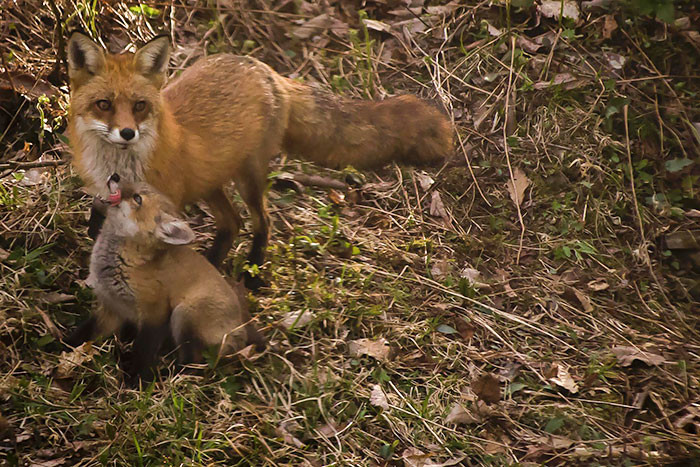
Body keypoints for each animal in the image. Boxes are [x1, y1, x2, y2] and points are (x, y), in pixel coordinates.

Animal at [67, 33, 454, 288]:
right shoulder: (106, 194)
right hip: (211, 182)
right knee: (232, 224)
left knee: (261, 223)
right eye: (104, 104)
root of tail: (268, 72)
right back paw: (213, 266)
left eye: (139, 106)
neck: (121, 169)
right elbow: (98, 219)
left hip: (248, 179)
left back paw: (251, 275)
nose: (127, 133)